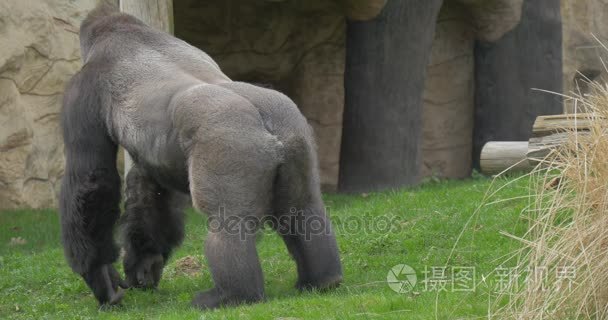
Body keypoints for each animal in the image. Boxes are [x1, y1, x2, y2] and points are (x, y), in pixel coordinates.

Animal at [60, 1, 344, 308]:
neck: (123, 32)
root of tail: (267, 122)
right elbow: (150, 191)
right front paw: (144, 262)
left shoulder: (82, 90)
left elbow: (91, 179)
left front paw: (99, 274)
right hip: (295, 134)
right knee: (303, 209)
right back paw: (322, 279)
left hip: (232, 142)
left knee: (227, 224)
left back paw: (232, 295)